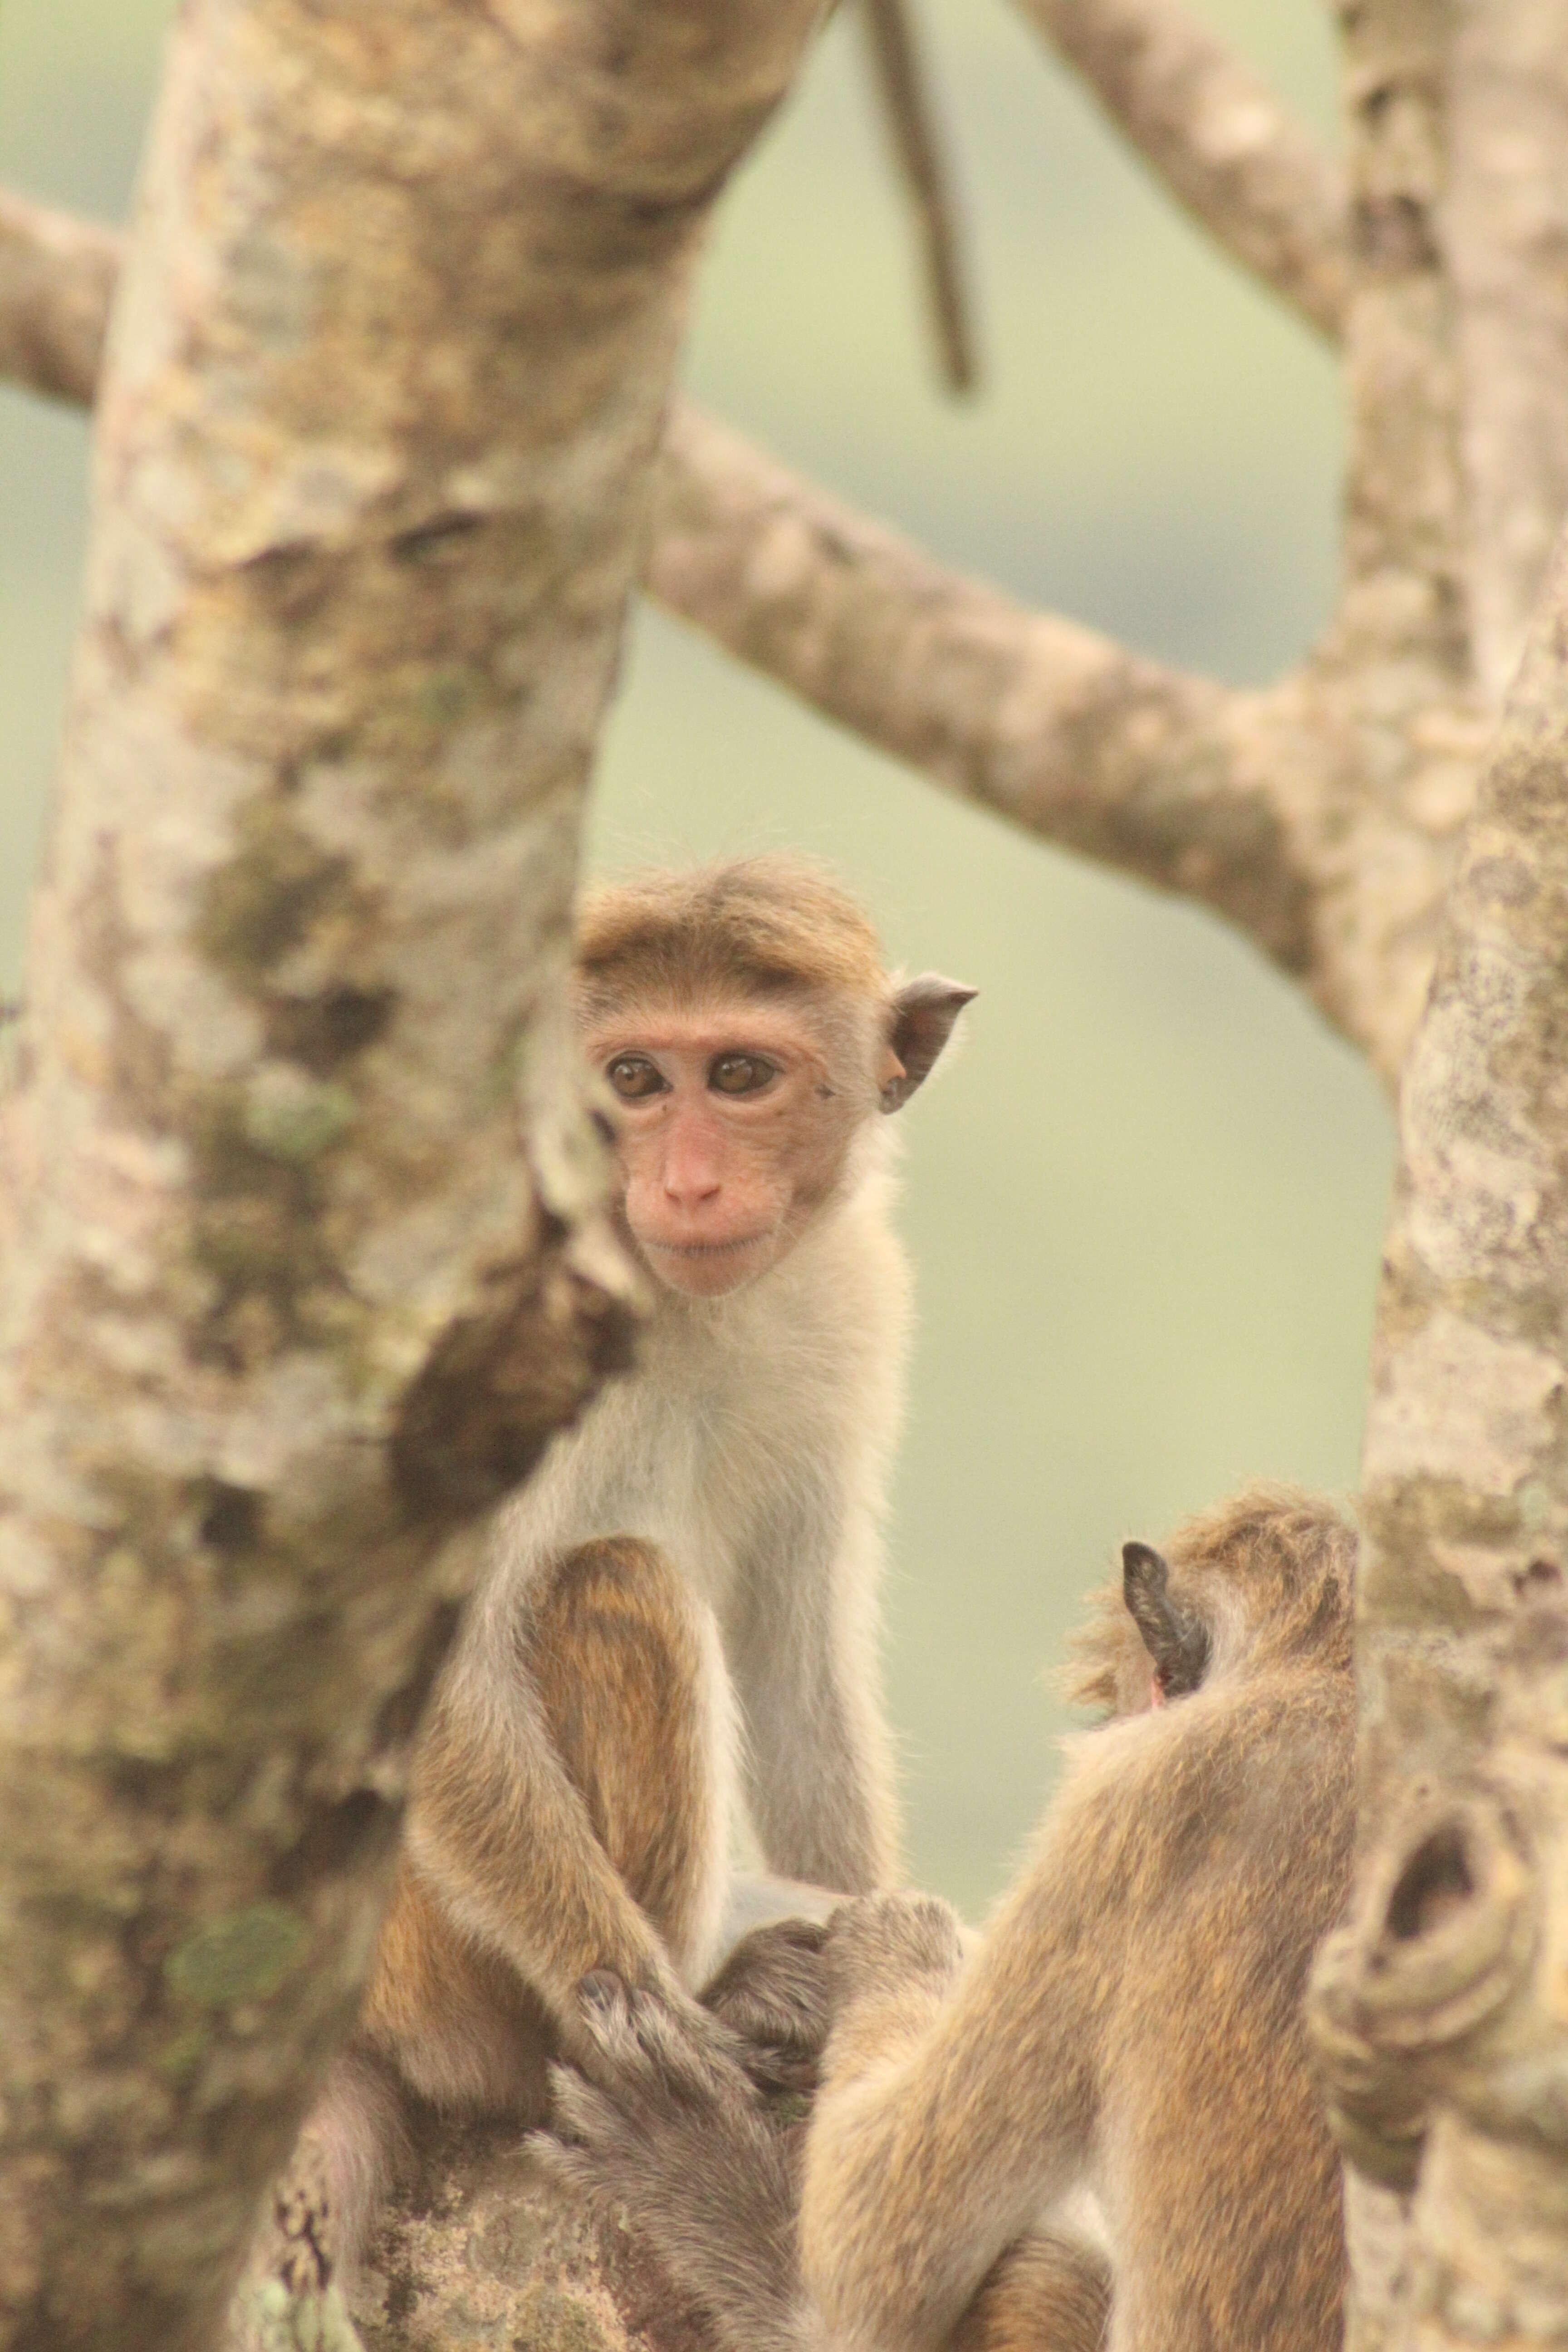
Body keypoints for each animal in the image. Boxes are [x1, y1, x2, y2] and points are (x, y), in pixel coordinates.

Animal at [552, 1496, 1363, 2342]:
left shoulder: (1127, 1796)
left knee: (1030, 2276)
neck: (1329, 1679)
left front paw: (894, 1948)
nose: (1117, 1715)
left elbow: (874, 2255)